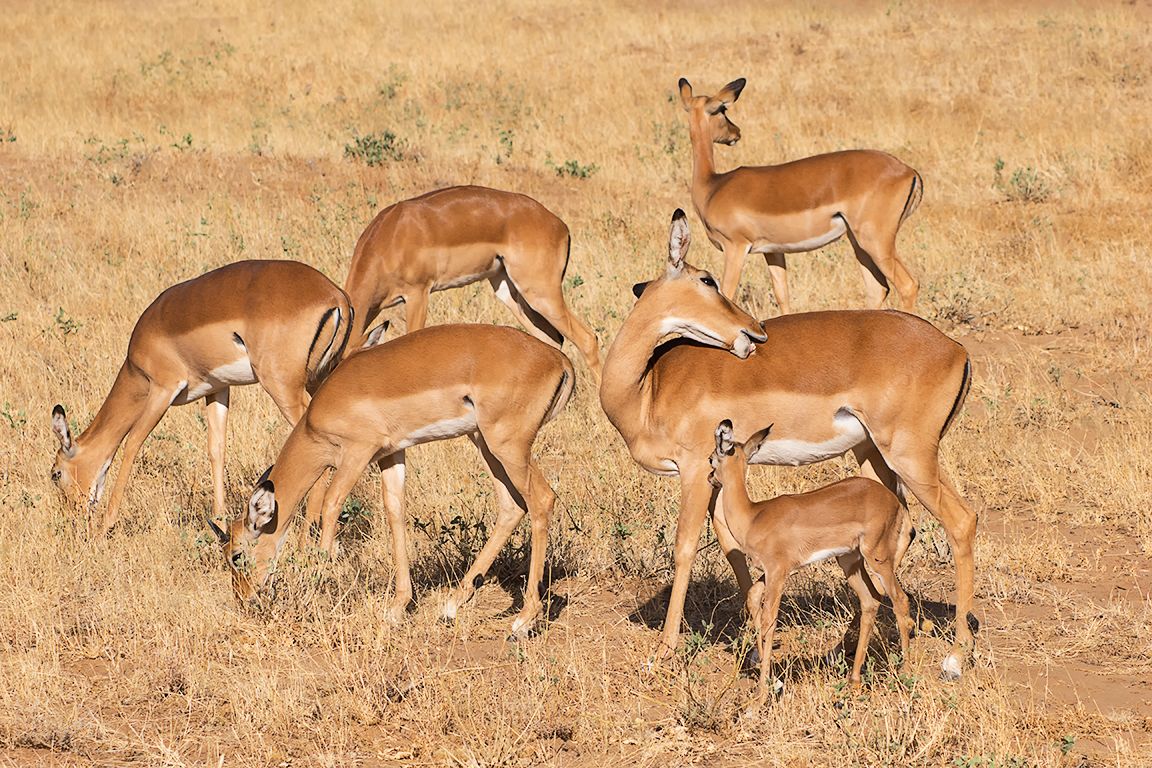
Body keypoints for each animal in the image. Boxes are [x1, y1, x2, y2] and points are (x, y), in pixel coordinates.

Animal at [50, 260, 351, 536]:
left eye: (56, 473)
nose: (73, 520)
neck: (137, 365)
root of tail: (336, 296)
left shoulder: (163, 389)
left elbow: (132, 443)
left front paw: (106, 525)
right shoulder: (217, 389)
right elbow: (216, 449)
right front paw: (219, 523)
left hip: (282, 386)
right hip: (319, 378)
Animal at [209, 324, 574, 637]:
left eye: (236, 555)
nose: (244, 598)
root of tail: (559, 360)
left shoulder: (357, 453)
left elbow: (330, 504)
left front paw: (316, 587)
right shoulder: (391, 454)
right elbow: (394, 512)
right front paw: (397, 608)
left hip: (506, 445)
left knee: (542, 499)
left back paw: (523, 621)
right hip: (484, 441)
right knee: (512, 506)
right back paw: (451, 607)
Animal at [342, 185, 603, 384]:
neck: (389, 238)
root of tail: (559, 225)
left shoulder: (418, 294)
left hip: (541, 294)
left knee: (588, 338)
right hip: (510, 292)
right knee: (552, 340)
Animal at [679, 77, 923, 314]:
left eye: (723, 108)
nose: (736, 132)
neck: (713, 186)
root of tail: (908, 171)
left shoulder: (735, 248)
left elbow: (727, 295)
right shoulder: (773, 252)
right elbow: (783, 296)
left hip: (875, 241)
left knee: (908, 285)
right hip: (859, 242)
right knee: (878, 288)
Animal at [708, 420, 914, 703]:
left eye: (711, 458)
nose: (710, 478)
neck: (753, 517)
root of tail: (894, 502)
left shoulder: (778, 573)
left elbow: (770, 620)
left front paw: (762, 694)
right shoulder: (769, 572)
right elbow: (752, 596)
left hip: (878, 557)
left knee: (900, 600)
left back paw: (905, 674)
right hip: (849, 562)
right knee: (871, 601)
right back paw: (853, 681)